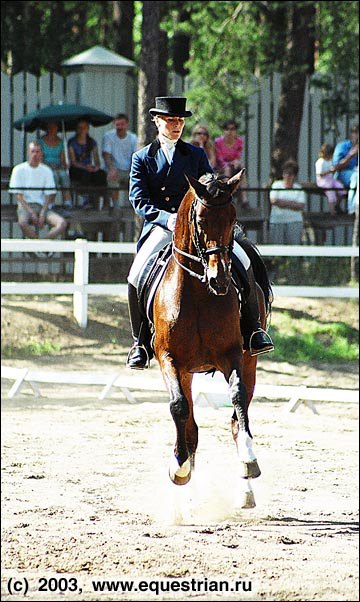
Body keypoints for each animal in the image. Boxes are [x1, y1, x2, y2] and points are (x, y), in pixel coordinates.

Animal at [150, 169, 272, 506]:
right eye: (202, 221)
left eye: (233, 218)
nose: (220, 279)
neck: (198, 293)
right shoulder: (169, 358)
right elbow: (179, 407)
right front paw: (179, 467)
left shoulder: (232, 355)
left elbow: (238, 399)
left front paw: (249, 460)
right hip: (186, 371)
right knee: (189, 420)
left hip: (250, 361)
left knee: (236, 417)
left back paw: (245, 489)